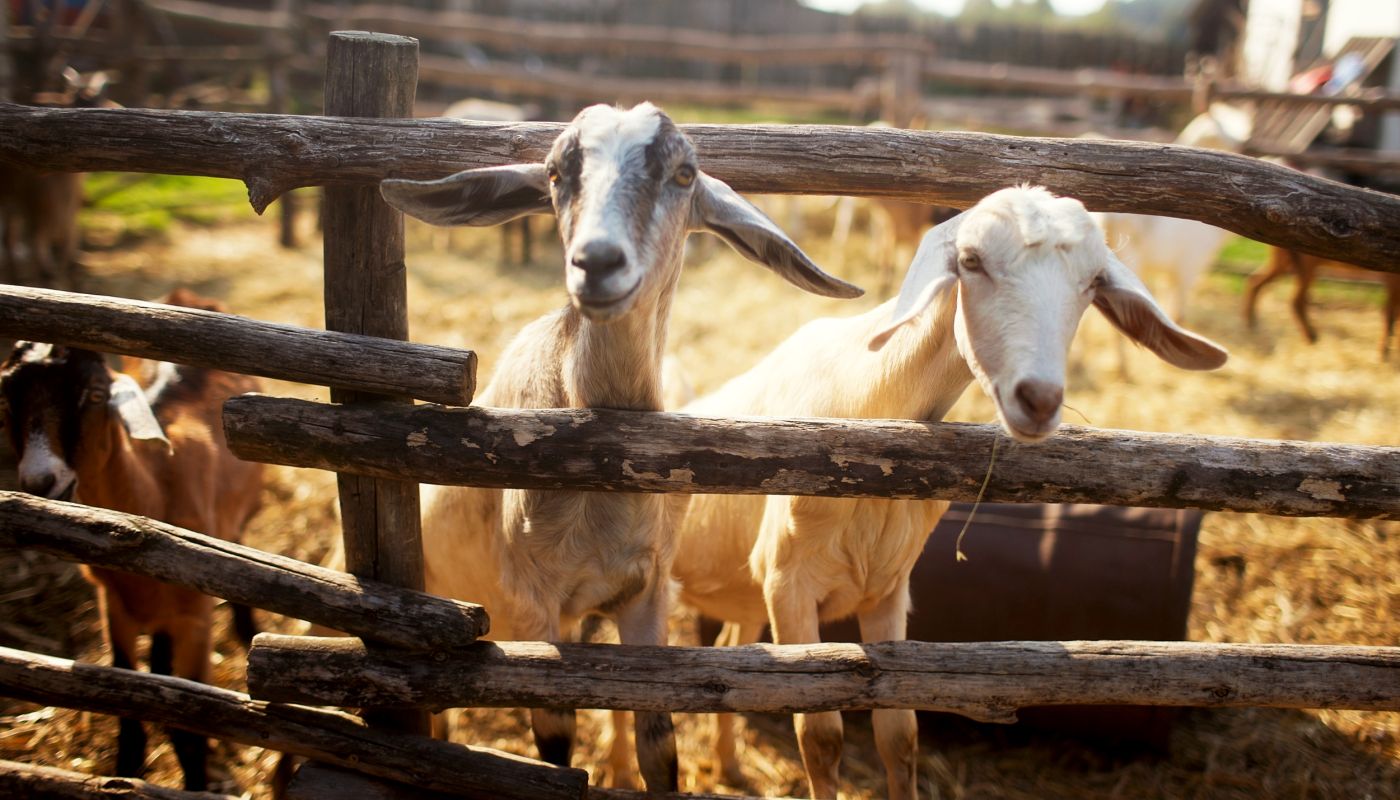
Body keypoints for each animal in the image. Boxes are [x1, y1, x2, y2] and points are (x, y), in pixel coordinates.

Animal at [0, 289, 265, 790]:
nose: (43, 481)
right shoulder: (113, 608)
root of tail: (187, 296)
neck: (154, 491)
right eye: (6, 401)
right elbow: (128, 712)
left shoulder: (195, 621)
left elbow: (190, 733)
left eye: (96, 395)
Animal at [380, 102, 861, 792]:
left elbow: (658, 743)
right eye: (556, 173)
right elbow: (555, 746)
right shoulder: (532, 603)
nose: (598, 262)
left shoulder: (647, 592)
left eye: (684, 173)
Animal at [672, 186, 1228, 800]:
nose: (1039, 399)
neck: (869, 409)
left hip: (745, 596)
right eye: (971, 261)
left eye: (1091, 284)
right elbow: (820, 737)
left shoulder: (888, 590)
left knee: (730, 658)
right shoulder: (789, 584)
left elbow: (898, 732)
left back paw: (727, 766)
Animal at [1244, 246, 1400, 358]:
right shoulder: (1392, 277)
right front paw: (1383, 354)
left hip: (1285, 260)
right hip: (1304, 263)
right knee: (1295, 300)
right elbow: (1389, 313)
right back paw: (1311, 338)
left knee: (1255, 281)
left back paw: (1252, 325)